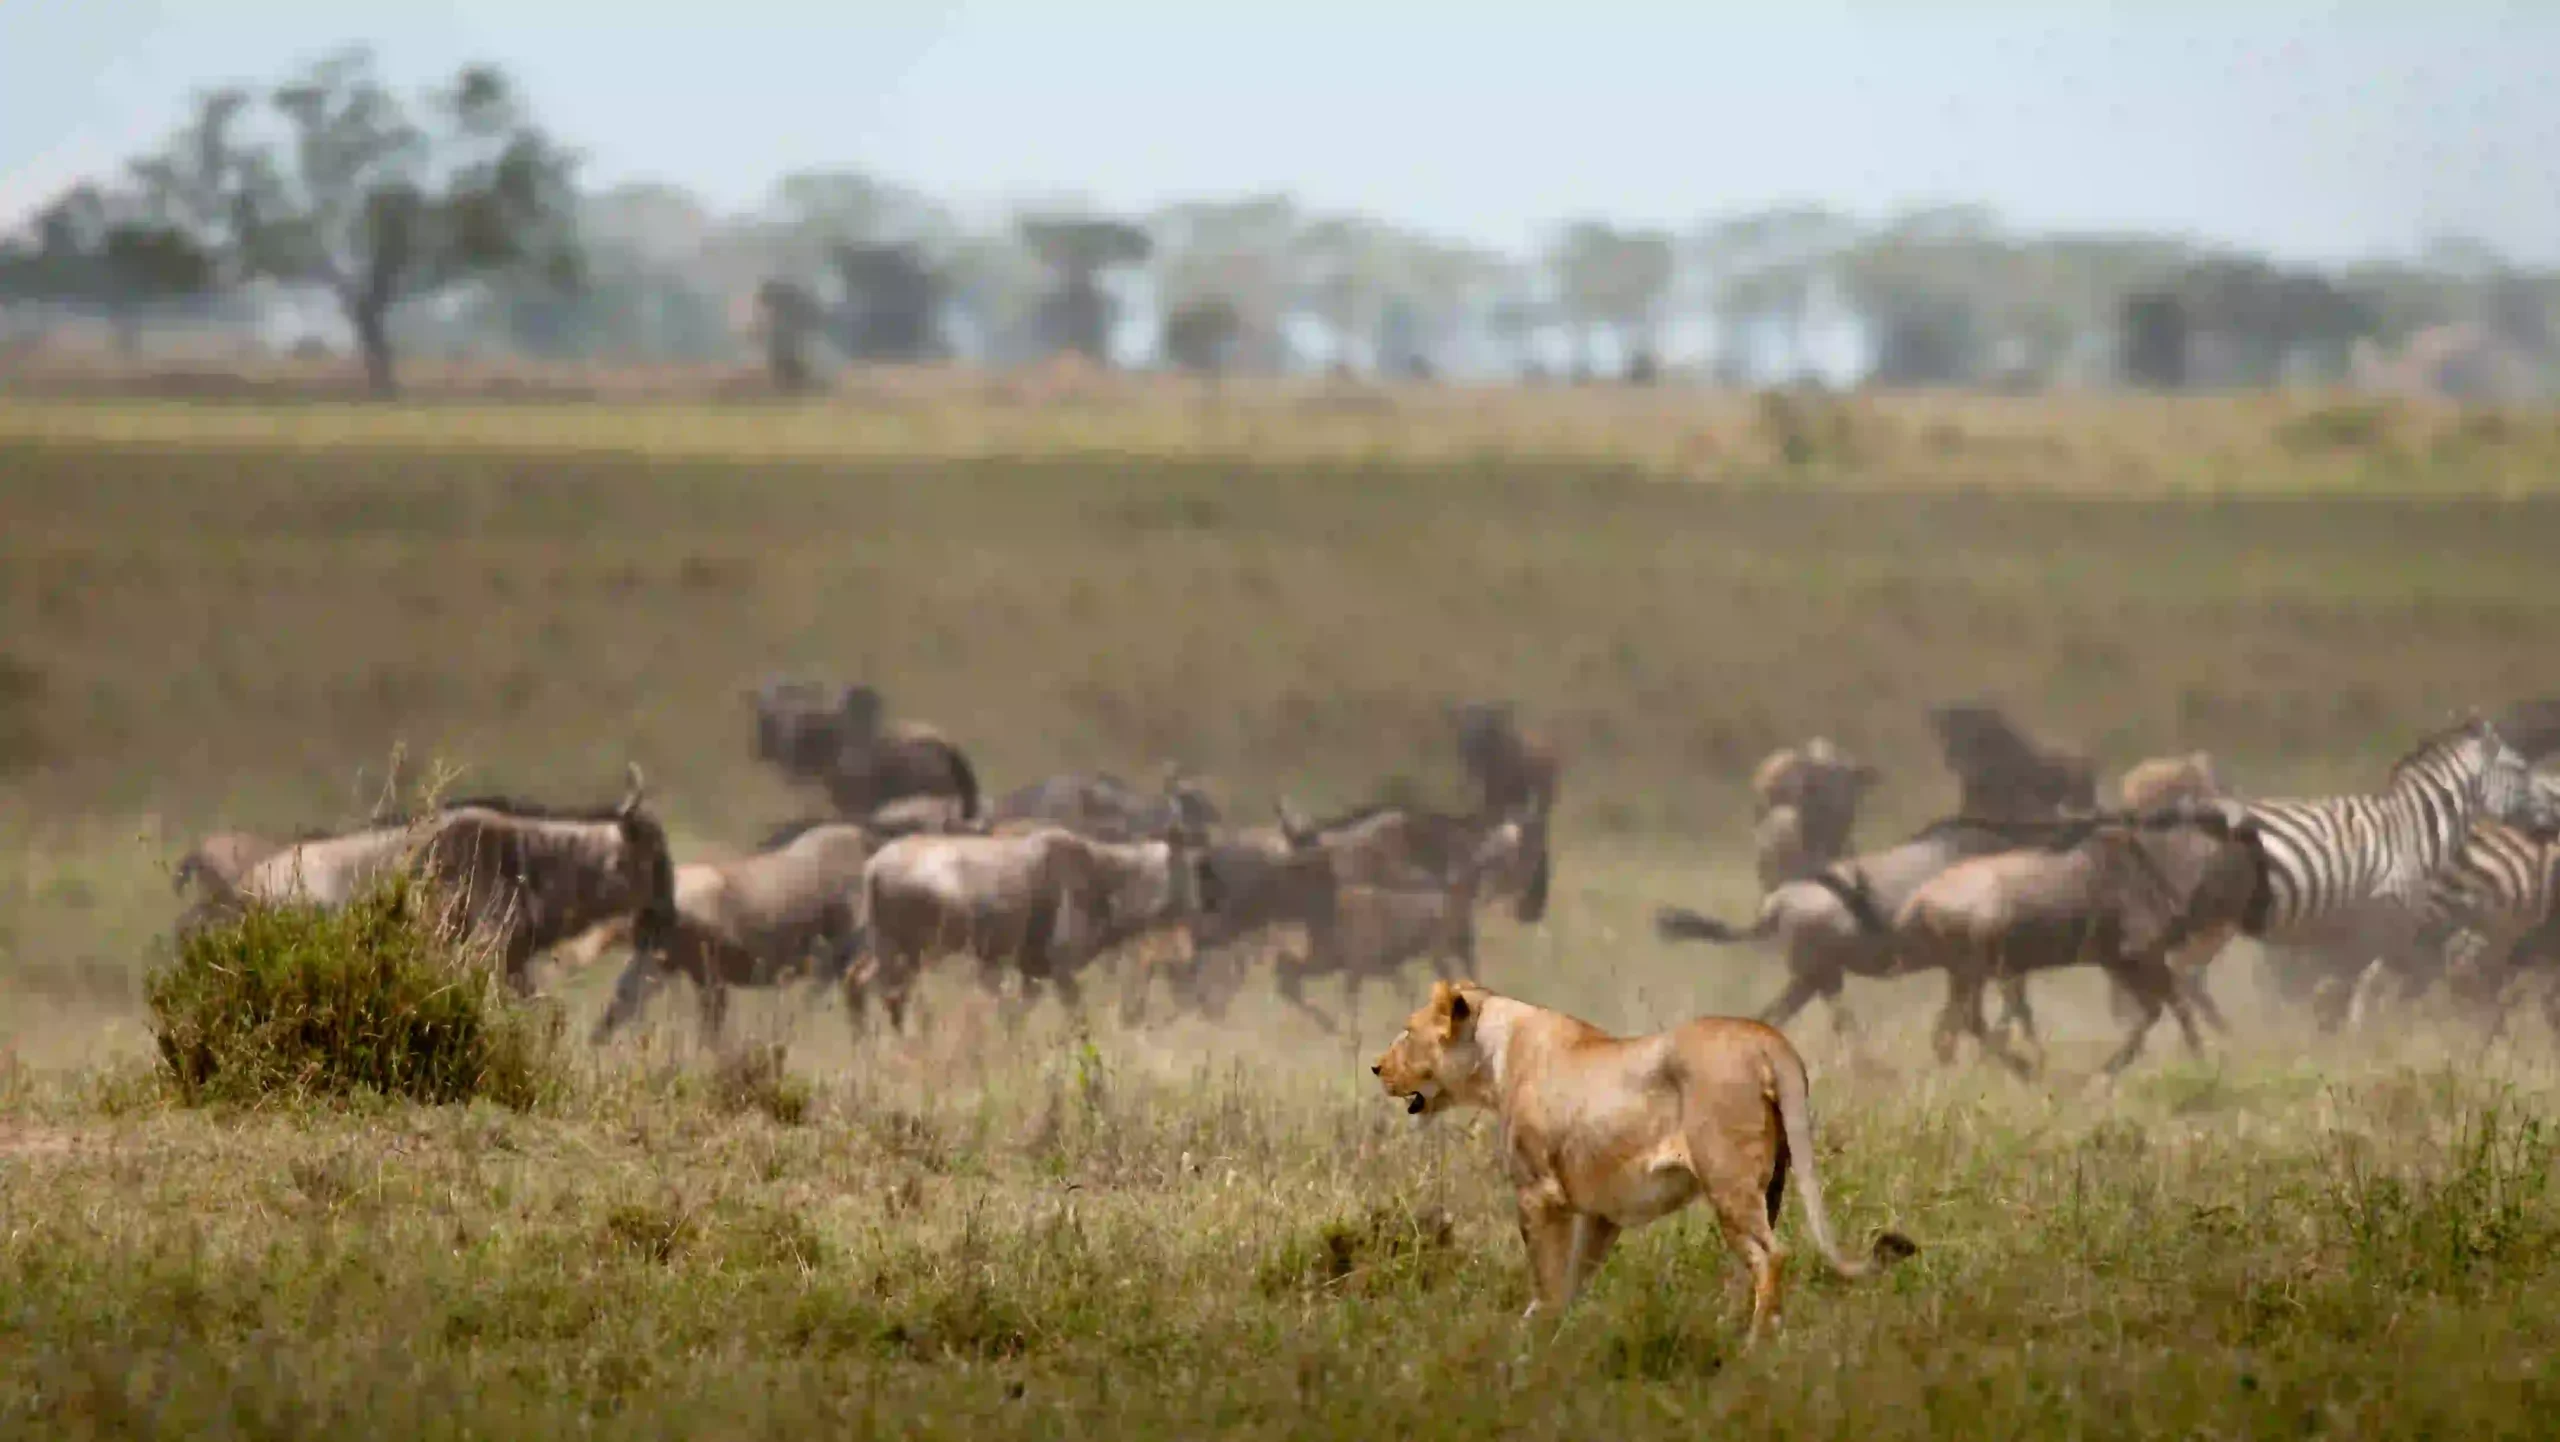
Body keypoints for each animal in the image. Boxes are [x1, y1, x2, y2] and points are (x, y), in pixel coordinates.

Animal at [1371, 979, 1916, 1340]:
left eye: (1407, 1032)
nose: (1376, 1068)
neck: (1494, 1058)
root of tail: (1769, 1039)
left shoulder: (1537, 1193)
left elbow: (1546, 1273)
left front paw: (1534, 1337)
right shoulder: (1602, 1212)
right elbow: (1574, 1277)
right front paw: (1555, 1334)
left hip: (1728, 1182)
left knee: (1773, 1255)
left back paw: (1754, 1343)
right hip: (1772, 1185)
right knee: (1754, 1261)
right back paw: (1744, 1328)